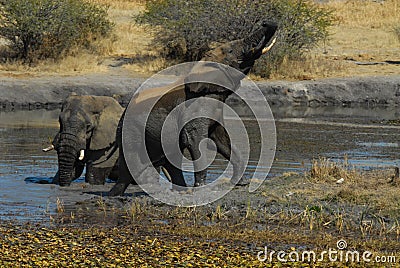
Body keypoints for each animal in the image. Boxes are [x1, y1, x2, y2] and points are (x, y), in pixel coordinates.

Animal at [109, 21, 278, 196]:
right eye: (230, 51)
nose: (265, 22)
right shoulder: (195, 107)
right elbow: (195, 140)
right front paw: (201, 189)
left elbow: (224, 142)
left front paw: (242, 183)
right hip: (130, 132)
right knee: (130, 167)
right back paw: (115, 195)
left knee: (171, 160)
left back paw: (181, 190)